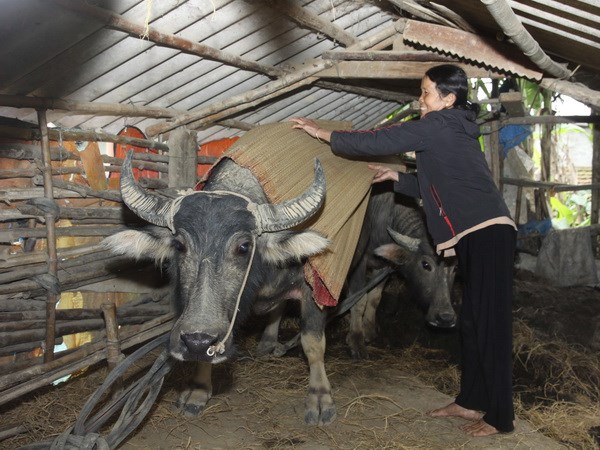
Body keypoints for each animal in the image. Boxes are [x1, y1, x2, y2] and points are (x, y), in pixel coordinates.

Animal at [104, 152, 338, 426]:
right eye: (179, 245)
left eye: (244, 246)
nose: (197, 341)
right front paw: (198, 389)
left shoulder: (313, 289)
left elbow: (312, 342)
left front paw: (320, 398)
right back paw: (267, 342)